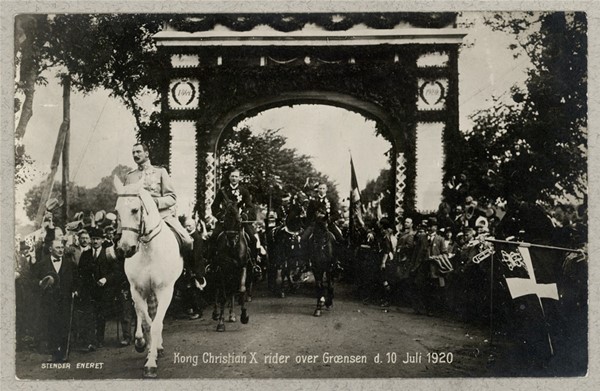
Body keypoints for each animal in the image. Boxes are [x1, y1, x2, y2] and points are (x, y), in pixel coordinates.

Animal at [113, 178, 183, 380]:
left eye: (135, 210)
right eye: (117, 211)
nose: (125, 249)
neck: (148, 249)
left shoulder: (165, 290)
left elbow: (156, 324)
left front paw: (151, 363)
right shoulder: (136, 290)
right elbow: (146, 322)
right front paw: (145, 346)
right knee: (142, 314)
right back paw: (141, 341)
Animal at [210, 201, 250, 332]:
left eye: (238, 222)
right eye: (224, 221)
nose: (231, 241)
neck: (232, 250)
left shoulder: (242, 268)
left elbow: (241, 290)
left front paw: (244, 316)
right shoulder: (222, 270)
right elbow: (222, 296)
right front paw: (221, 323)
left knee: (232, 291)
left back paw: (232, 315)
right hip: (217, 273)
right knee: (217, 290)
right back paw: (216, 313)